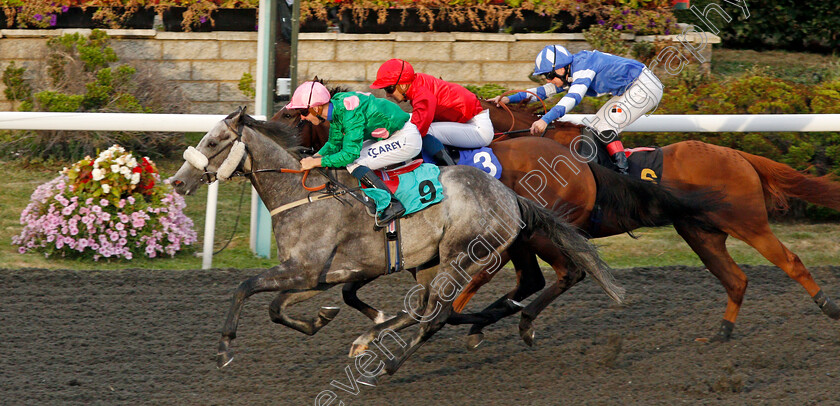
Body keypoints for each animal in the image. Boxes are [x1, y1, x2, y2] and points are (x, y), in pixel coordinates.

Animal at [171, 108, 620, 380]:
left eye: (214, 142)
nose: (176, 181)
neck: (303, 195)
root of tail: (510, 196)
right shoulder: (318, 275)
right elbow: (277, 308)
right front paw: (322, 319)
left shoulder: (304, 271)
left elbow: (244, 287)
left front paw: (224, 349)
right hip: (430, 263)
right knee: (428, 308)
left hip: (462, 257)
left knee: (437, 314)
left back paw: (390, 363)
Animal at [480, 100, 840, 340]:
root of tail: (738, 155)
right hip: (702, 234)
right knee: (736, 279)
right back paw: (722, 332)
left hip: (749, 223)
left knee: (791, 262)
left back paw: (827, 305)